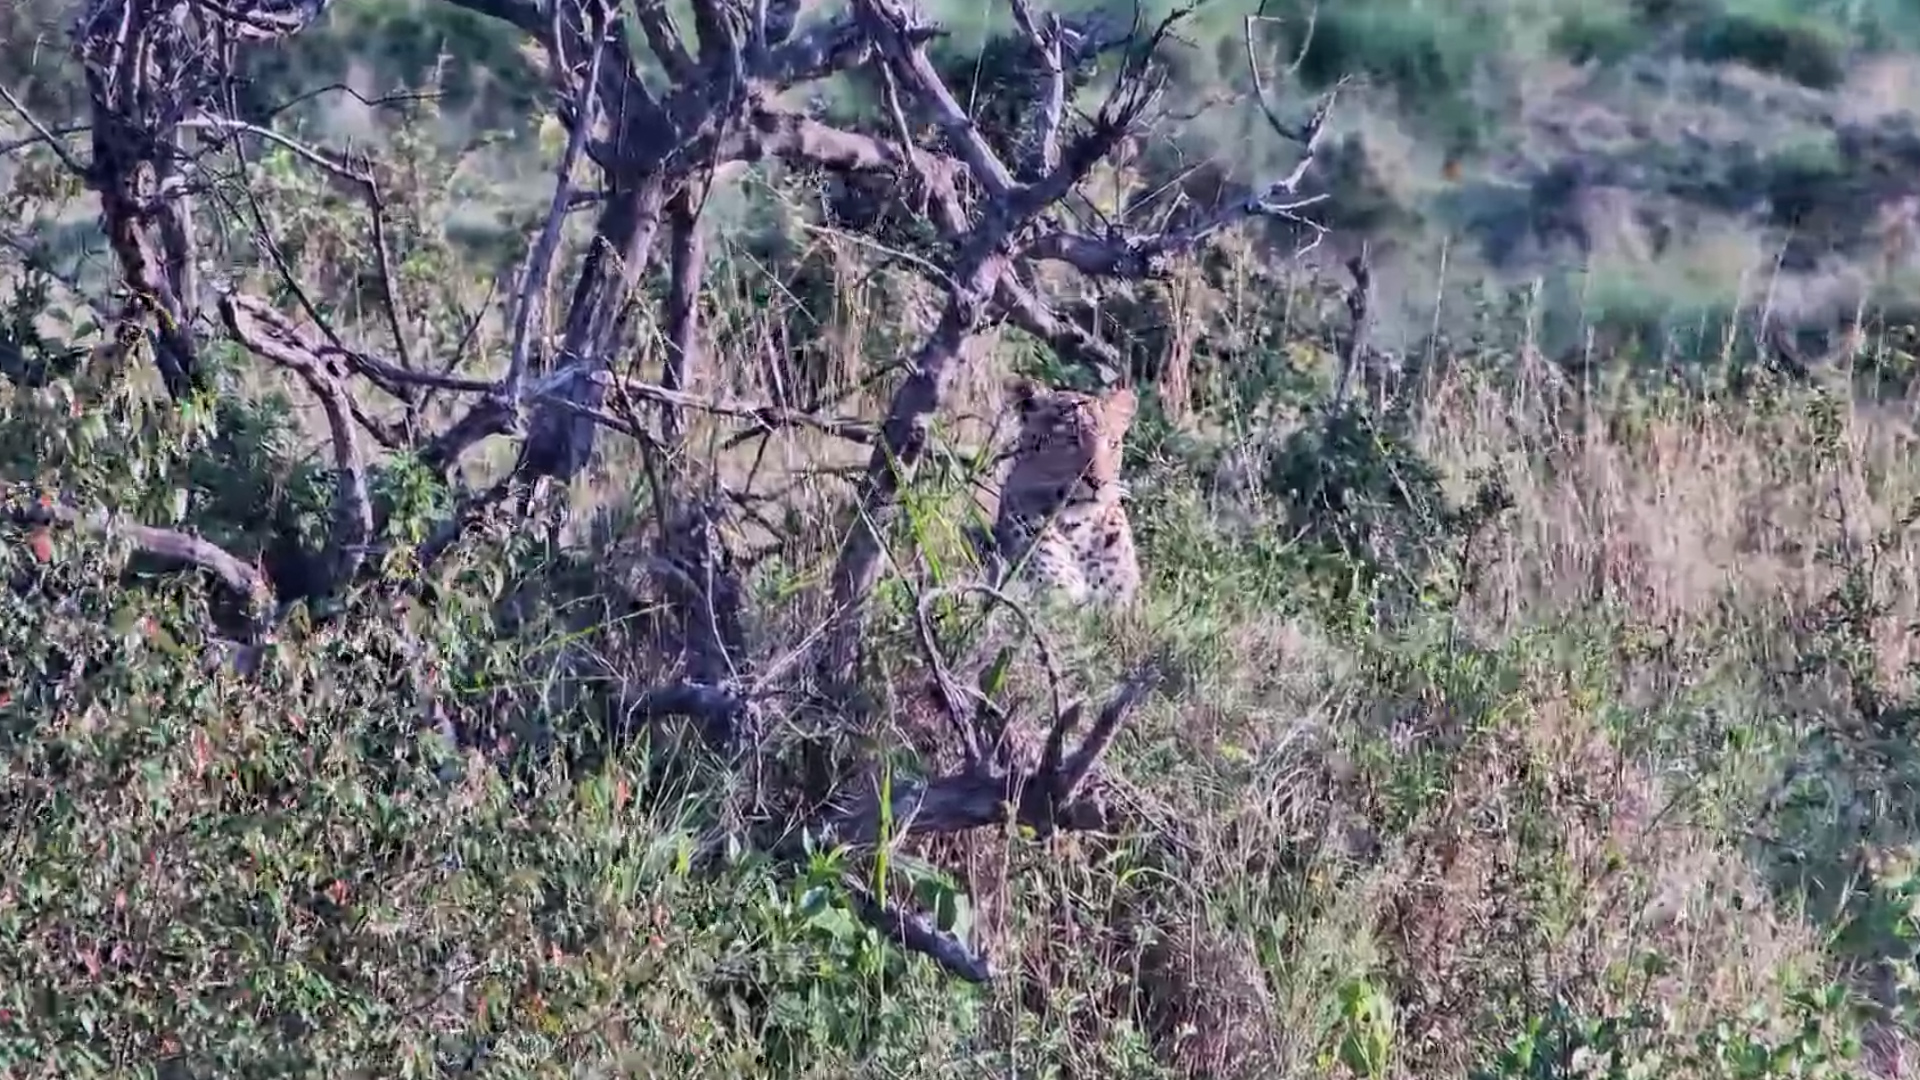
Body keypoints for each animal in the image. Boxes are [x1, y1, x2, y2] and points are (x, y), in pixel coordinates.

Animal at [983, 378, 1142, 606]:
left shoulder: (1126, 600)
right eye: (1072, 439)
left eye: (1113, 444)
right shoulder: (1053, 588)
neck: (1080, 532)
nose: (1098, 481)